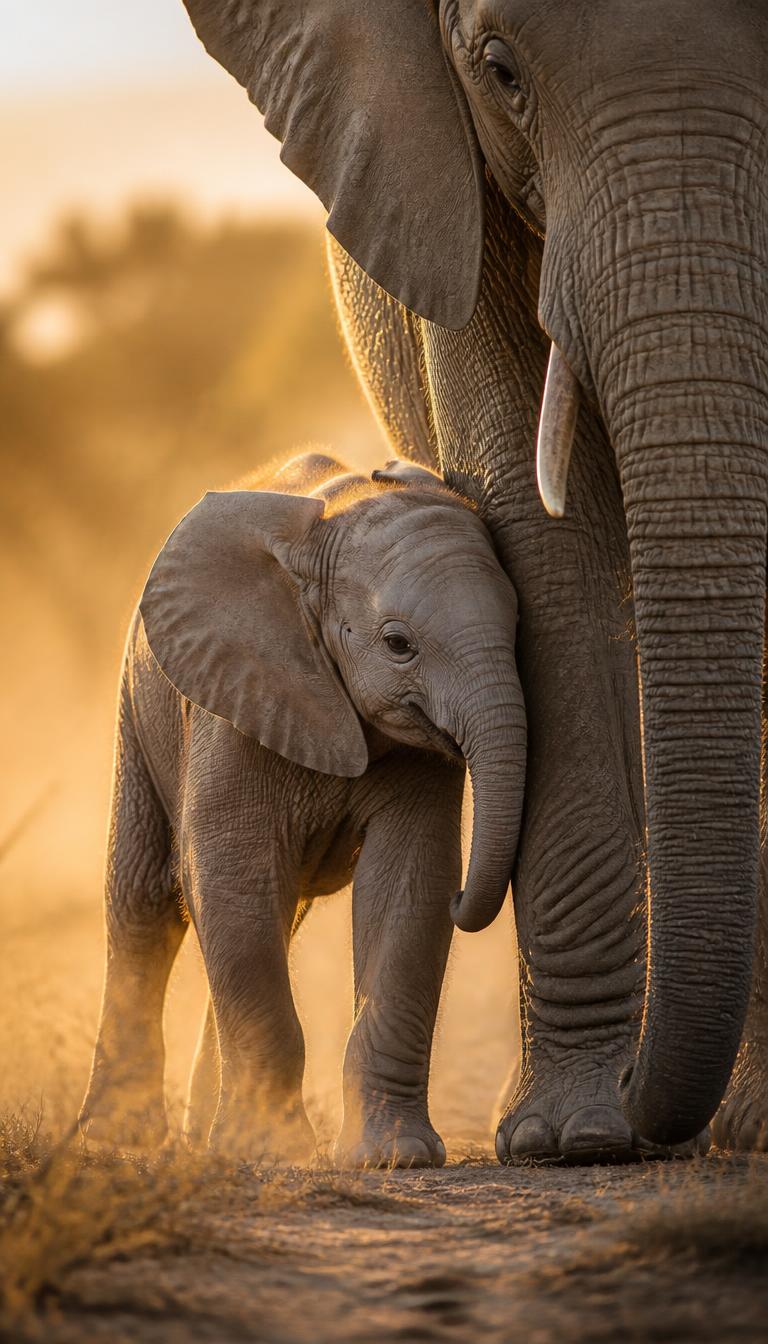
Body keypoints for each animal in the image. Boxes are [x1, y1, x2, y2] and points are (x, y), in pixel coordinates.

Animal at [79, 452, 526, 1166]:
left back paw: (203, 1136)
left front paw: (392, 1156)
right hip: (137, 705)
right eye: (398, 644)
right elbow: (230, 880)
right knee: (146, 906)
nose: (470, 901)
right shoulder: (234, 699)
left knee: (273, 913)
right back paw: (121, 1139)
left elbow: (407, 888)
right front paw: (269, 1153)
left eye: (518, 633)